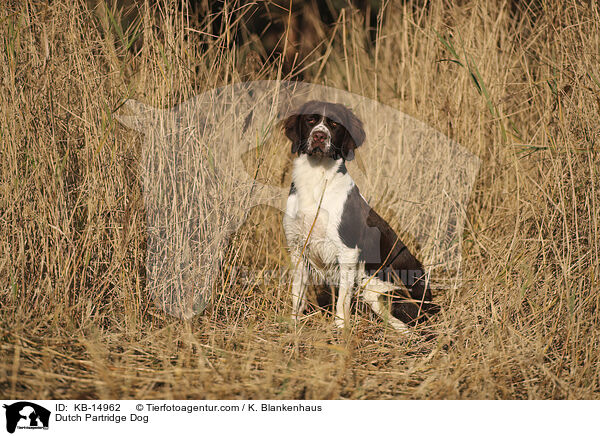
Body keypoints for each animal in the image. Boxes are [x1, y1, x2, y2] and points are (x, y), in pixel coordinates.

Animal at [284, 100, 438, 332]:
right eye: (310, 120)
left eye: (334, 124)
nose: (319, 136)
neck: (317, 179)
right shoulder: (298, 248)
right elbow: (297, 293)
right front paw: (293, 325)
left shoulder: (347, 252)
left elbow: (342, 300)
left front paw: (340, 330)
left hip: (380, 293)